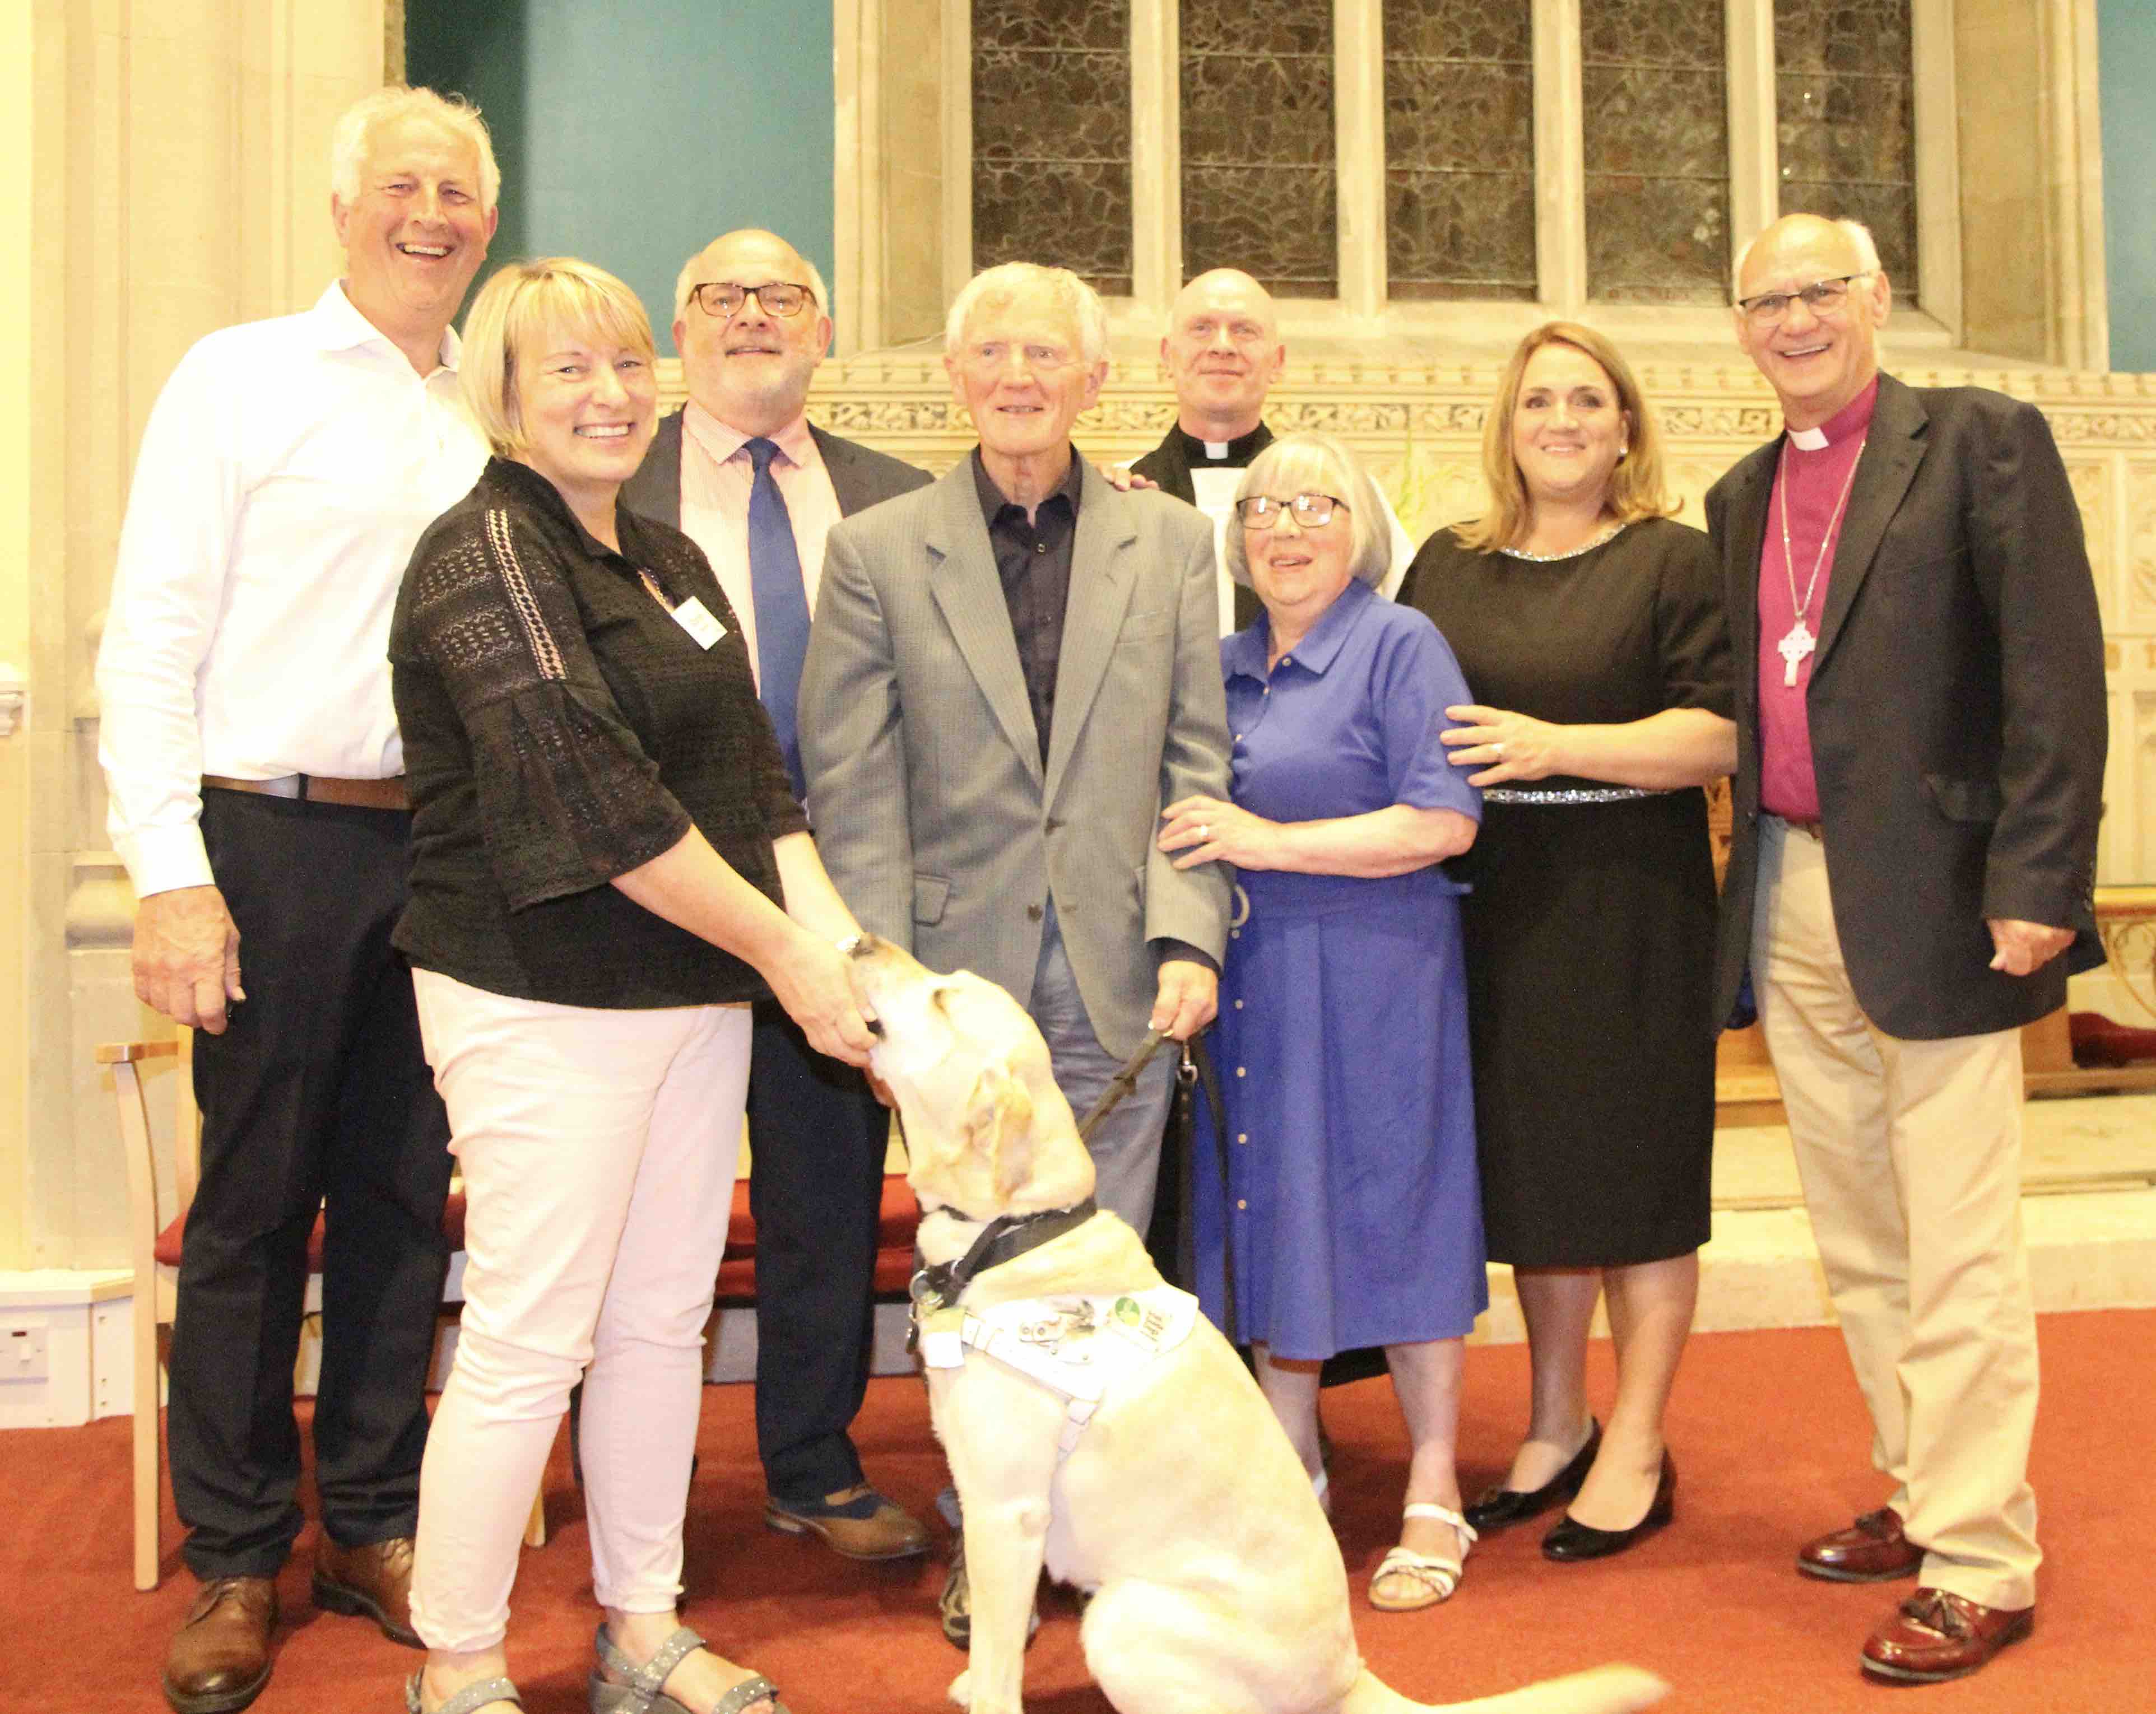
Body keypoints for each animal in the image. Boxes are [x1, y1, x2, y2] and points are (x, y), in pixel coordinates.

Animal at [845, 940, 1664, 1714]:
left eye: (944, 999)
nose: (859, 942)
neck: (1015, 1232)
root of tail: (1349, 1674)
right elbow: (997, 1639)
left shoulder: (1006, 1512)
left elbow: (998, 1653)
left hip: (1123, 1616)